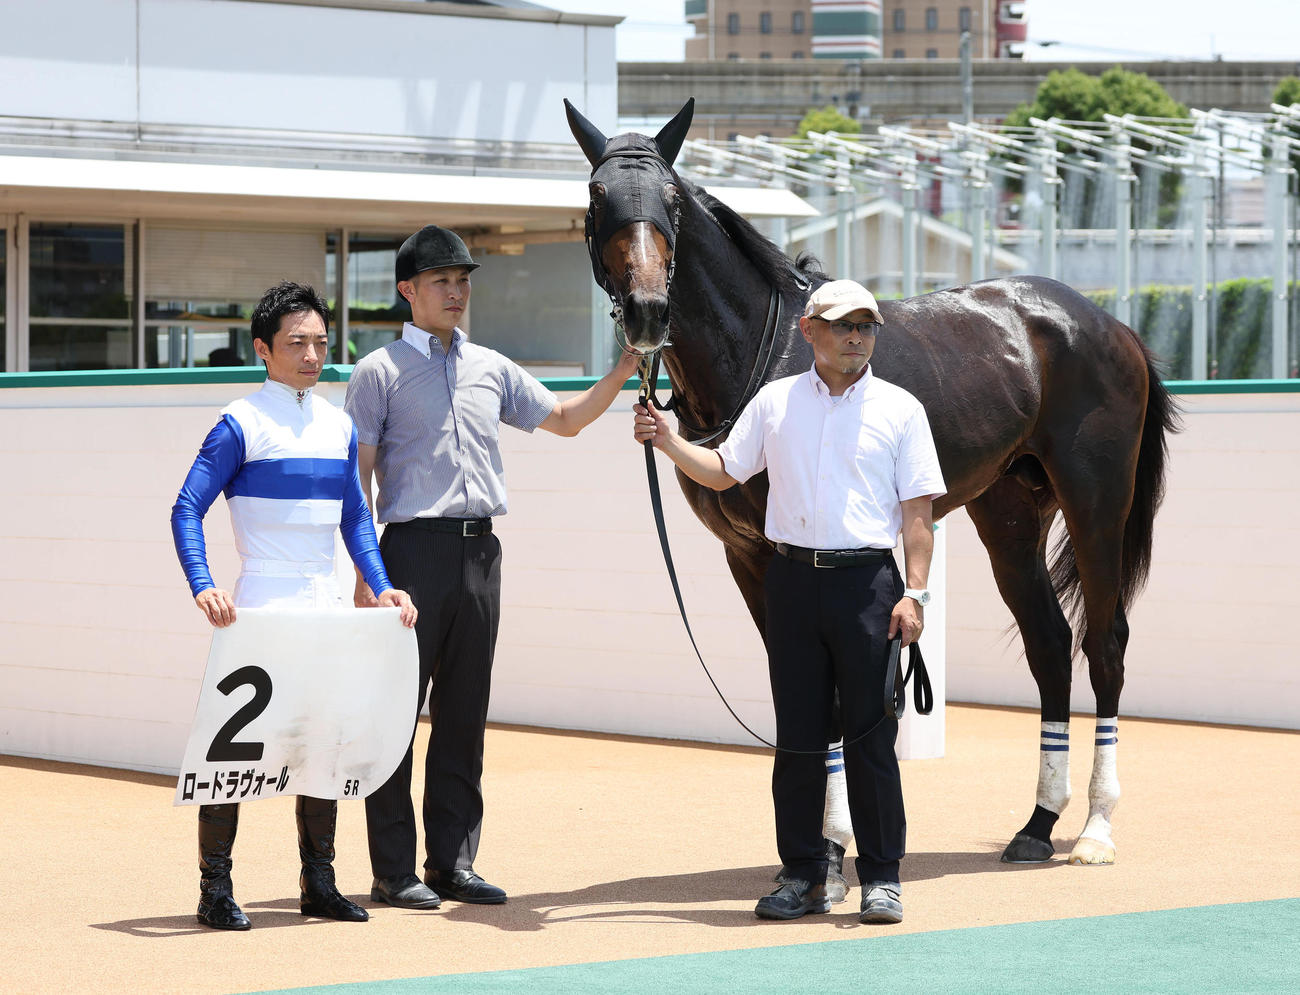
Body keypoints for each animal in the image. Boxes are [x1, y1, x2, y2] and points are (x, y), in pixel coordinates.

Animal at [564, 97, 1179, 866]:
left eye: (671, 197)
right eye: (597, 197)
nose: (648, 309)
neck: (766, 353)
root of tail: (1110, 323)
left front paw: (834, 841)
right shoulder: (748, 555)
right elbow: (795, 690)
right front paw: (819, 843)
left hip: (1097, 502)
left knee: (1105, 644)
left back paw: (1095, 827)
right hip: (1010, 512)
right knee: (1048, 644)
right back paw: (1037, 824)